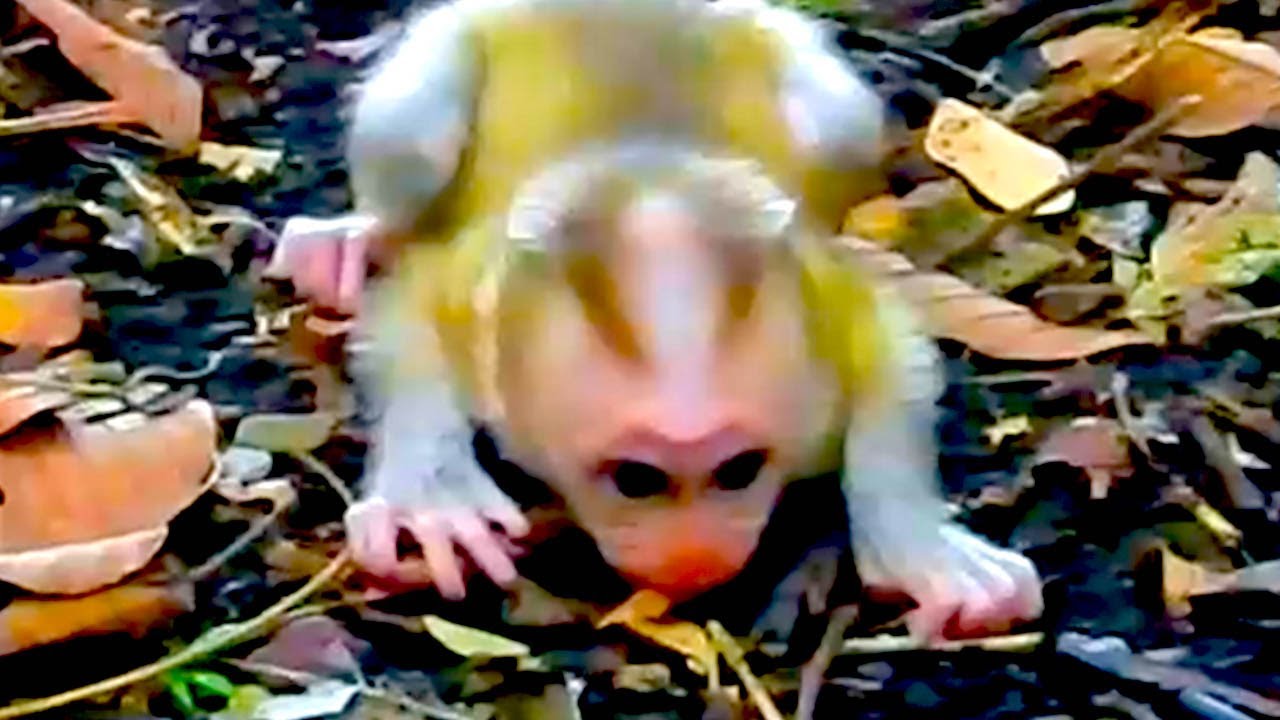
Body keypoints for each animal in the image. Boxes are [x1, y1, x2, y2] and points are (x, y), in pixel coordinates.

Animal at [274, 0, 1042, 640]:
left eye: (739, 470)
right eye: (636, 479)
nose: (694, 565)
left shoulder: (824, 308)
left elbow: (889, 341)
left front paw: (921, 547)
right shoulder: (476, 295)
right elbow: (408, 310)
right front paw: (434, 495)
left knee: (840, 130)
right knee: (413, 140)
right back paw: (355, 236)